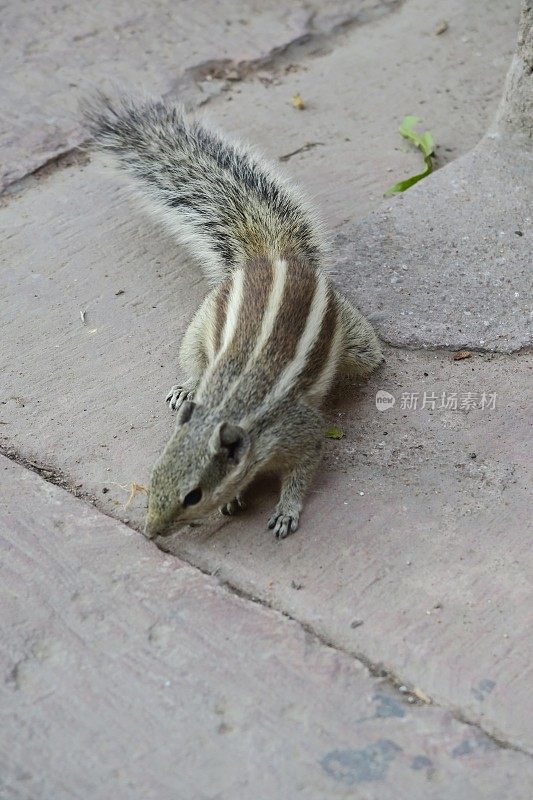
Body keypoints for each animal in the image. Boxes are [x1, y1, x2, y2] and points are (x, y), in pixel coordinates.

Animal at [83, 95, 382, 544]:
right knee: (193, 358)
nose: (150, 532)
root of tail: (271, 255)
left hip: (353, 342)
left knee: (367, 353)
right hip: (200, 325)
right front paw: (235, 498)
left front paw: (286, 510)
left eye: (193, 495)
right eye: (154, 474)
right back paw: (185, 387)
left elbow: (305, 468)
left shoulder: (300, 430)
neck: (231, 404)